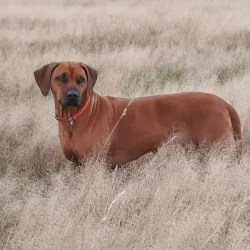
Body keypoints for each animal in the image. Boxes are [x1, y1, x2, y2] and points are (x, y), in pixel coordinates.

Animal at [33, 60, 242, 167]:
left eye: (81, 80)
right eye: (60, 78)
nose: (73, 95)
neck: (73, 118)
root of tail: (224, 103)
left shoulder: (94, 165)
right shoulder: (76, 165)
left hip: (217, 151)